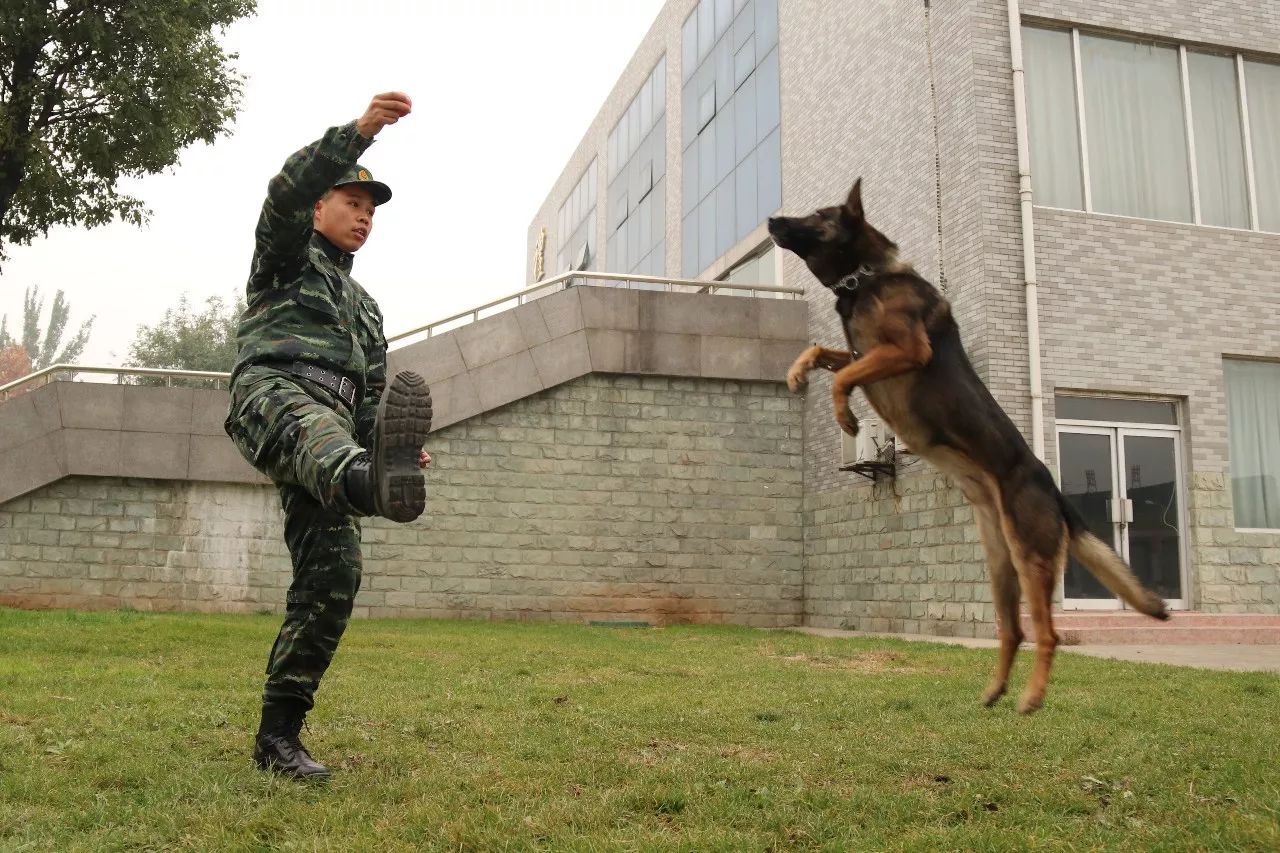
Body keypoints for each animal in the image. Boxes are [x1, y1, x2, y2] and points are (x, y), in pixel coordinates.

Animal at [762, 179, 1167, 712]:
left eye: (817, 215)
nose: (769, 221)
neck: (866, 279)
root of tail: (1053, 489)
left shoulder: (904, 350)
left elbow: (843, 378)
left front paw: (845, 415)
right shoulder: (861, 351)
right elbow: (819, 352)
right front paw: (795, 374)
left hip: (1030, 559)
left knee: (1047, 634)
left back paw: (1031, 698)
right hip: (998, 566)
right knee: (1013, 632)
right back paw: (994, 692)